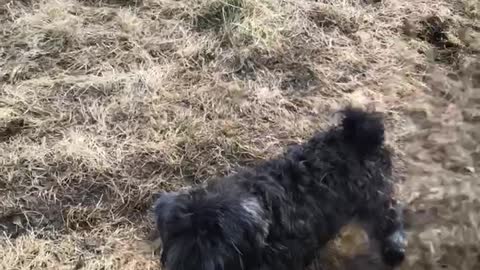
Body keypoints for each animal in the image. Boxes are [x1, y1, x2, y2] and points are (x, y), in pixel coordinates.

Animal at [153, 107, 404, 270]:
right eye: (177, 231)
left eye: (219, 239)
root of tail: (359, 135)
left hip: (374, 197)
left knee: (391, 217)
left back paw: (394, 250)